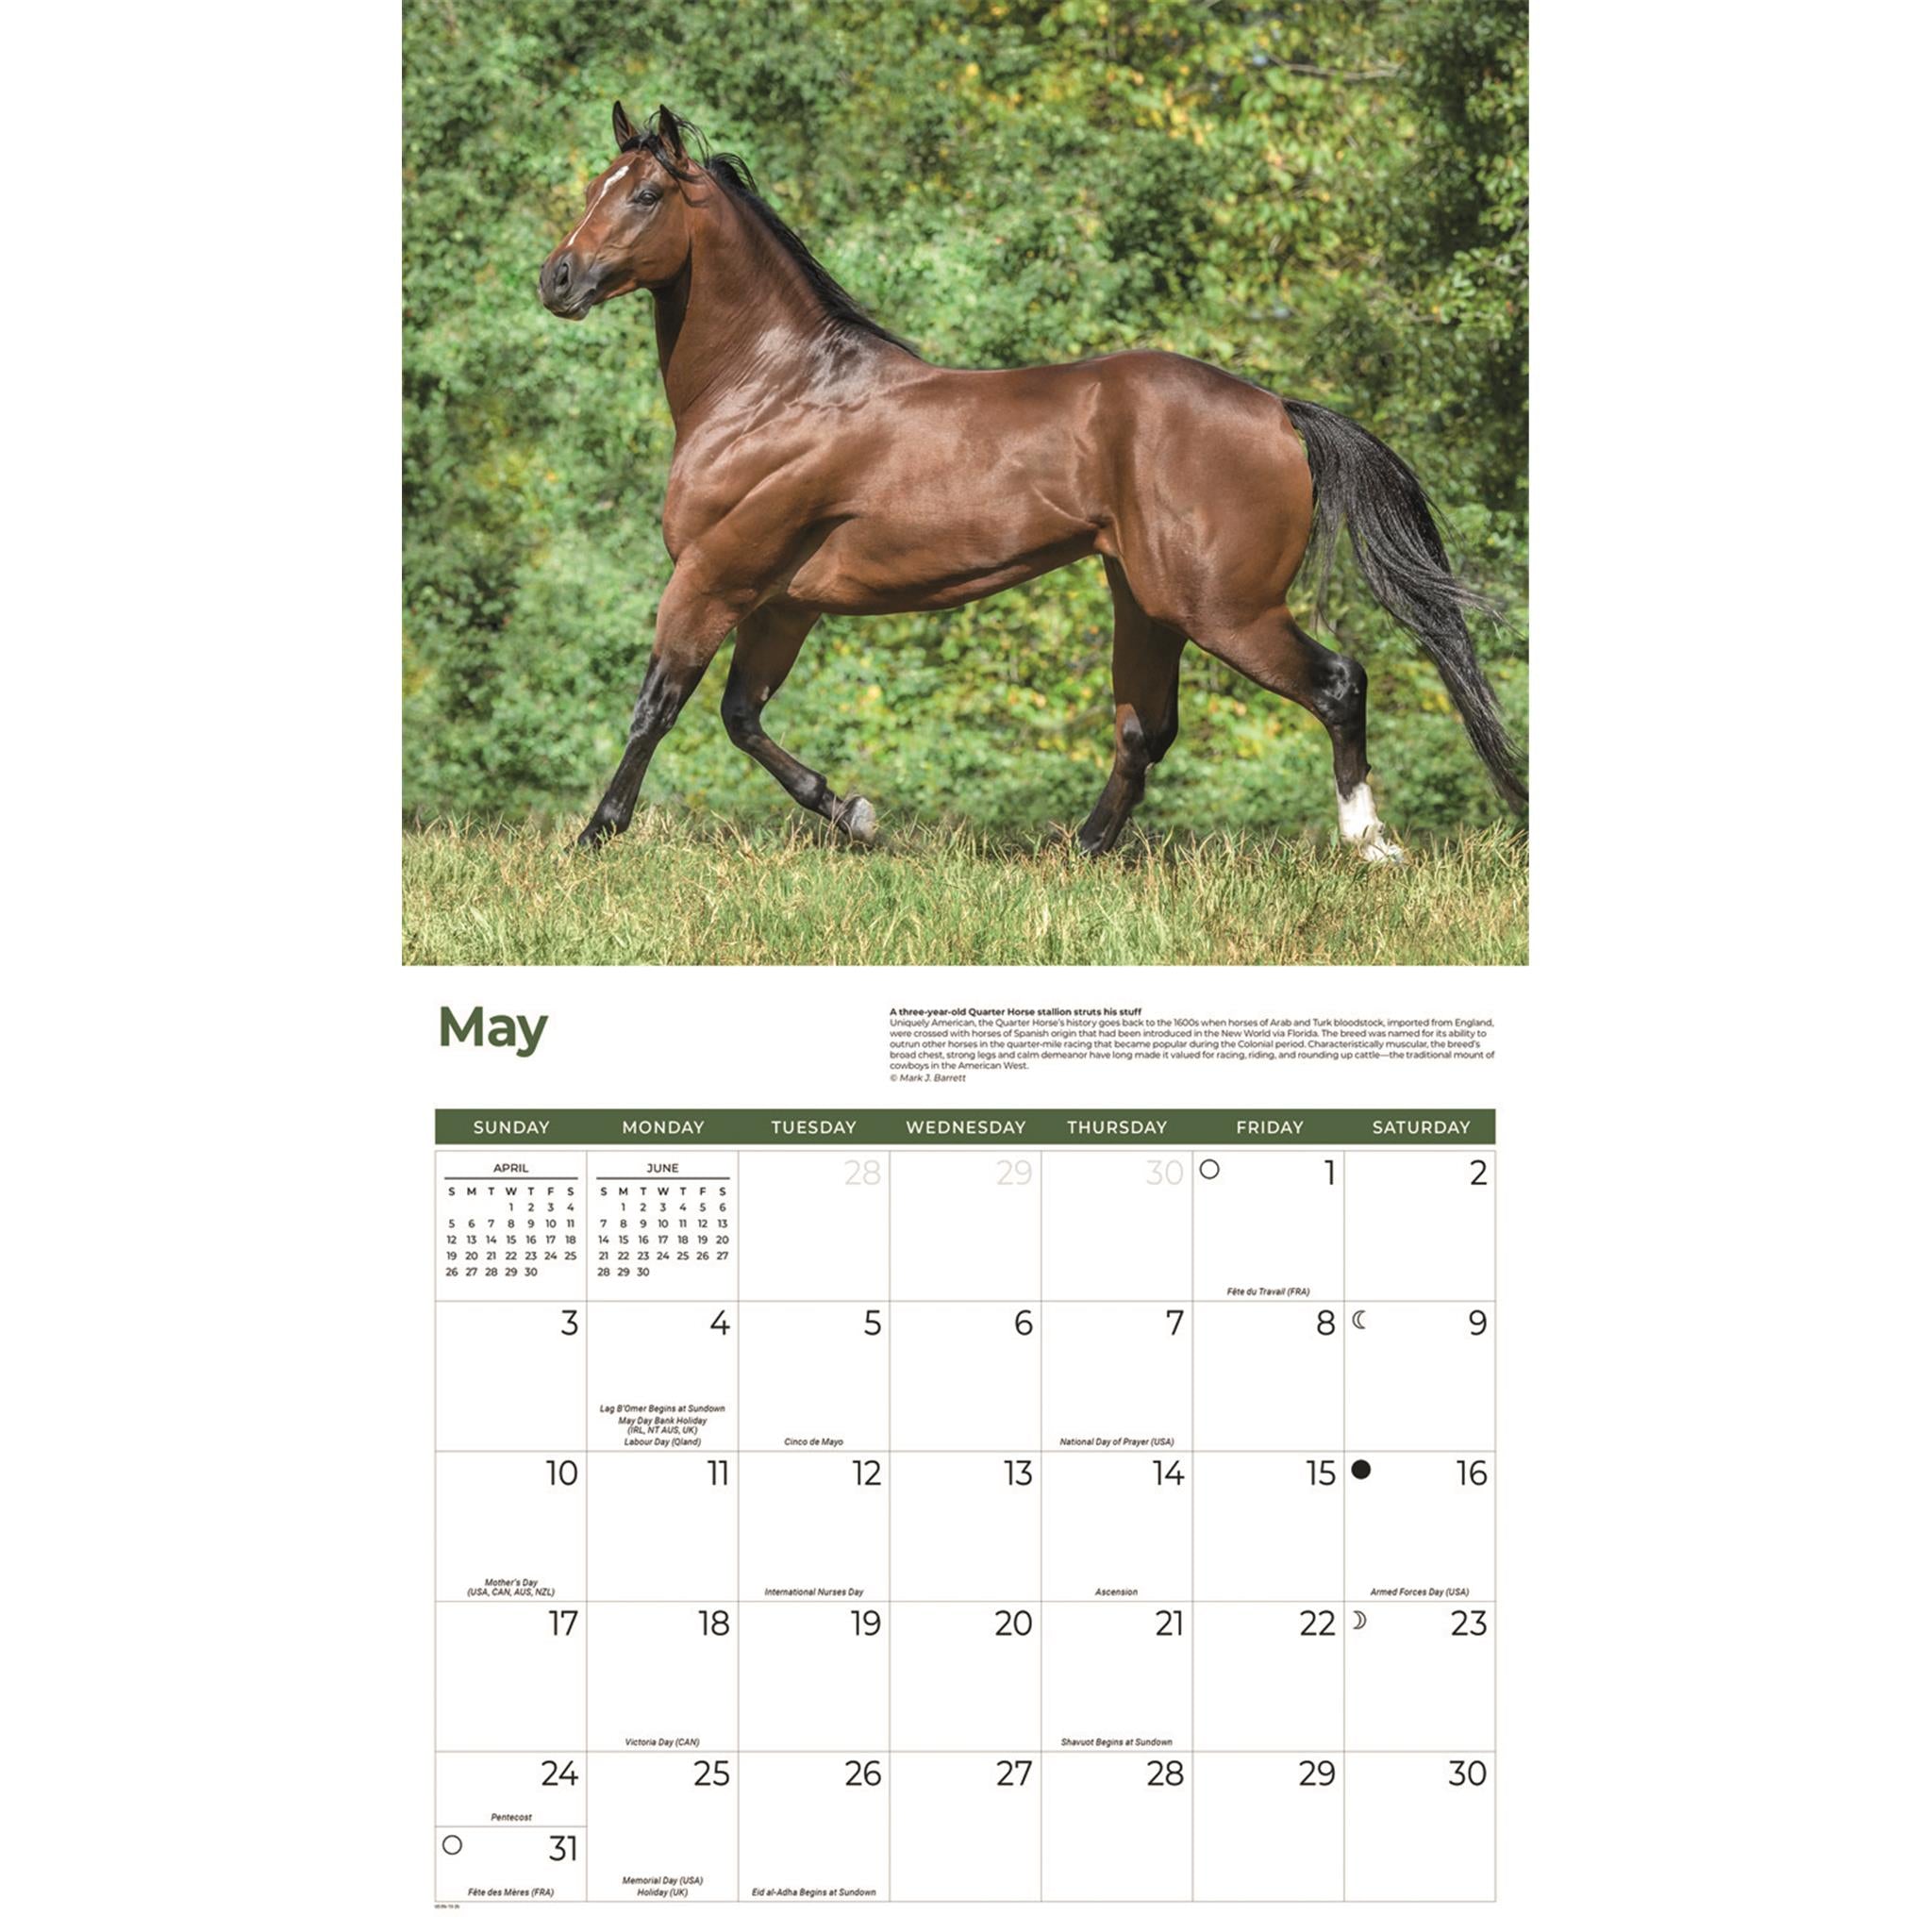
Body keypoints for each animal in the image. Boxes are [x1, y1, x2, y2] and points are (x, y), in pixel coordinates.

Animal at [538, 102, 1525, 862]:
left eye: (645, 194)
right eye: (593, 190)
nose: (558, 279)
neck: (778, 394)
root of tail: (1278, 409)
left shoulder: (713, 578)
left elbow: (656, 708)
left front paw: (594, 837)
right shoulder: (783, 604)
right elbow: (741, 717)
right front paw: (854, 815)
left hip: (1224, 608)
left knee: (1338, 683)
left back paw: (1370, 843)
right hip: (1146, 601)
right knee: (1144, 730)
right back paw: (1077, 853)